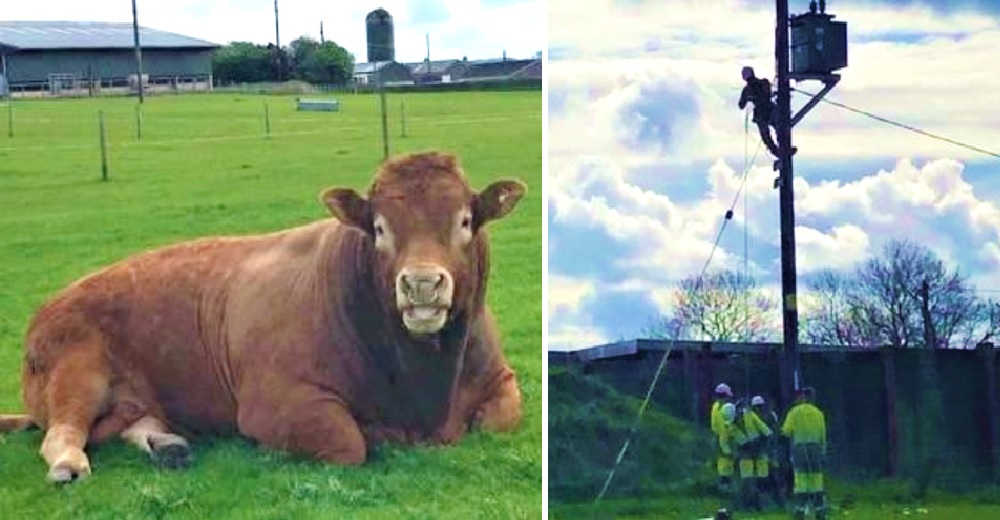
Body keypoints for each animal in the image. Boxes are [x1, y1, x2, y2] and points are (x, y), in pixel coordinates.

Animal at [0, 150, 528, 484]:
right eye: (379, 228)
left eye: (465, 221)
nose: (420, 284)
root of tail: (49, 308)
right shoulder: (276, 403)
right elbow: (348, 443)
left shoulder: (500, 379)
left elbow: (501, 417)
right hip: (76, 372)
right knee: (62, 434)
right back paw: (70, 465)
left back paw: (169, 446)